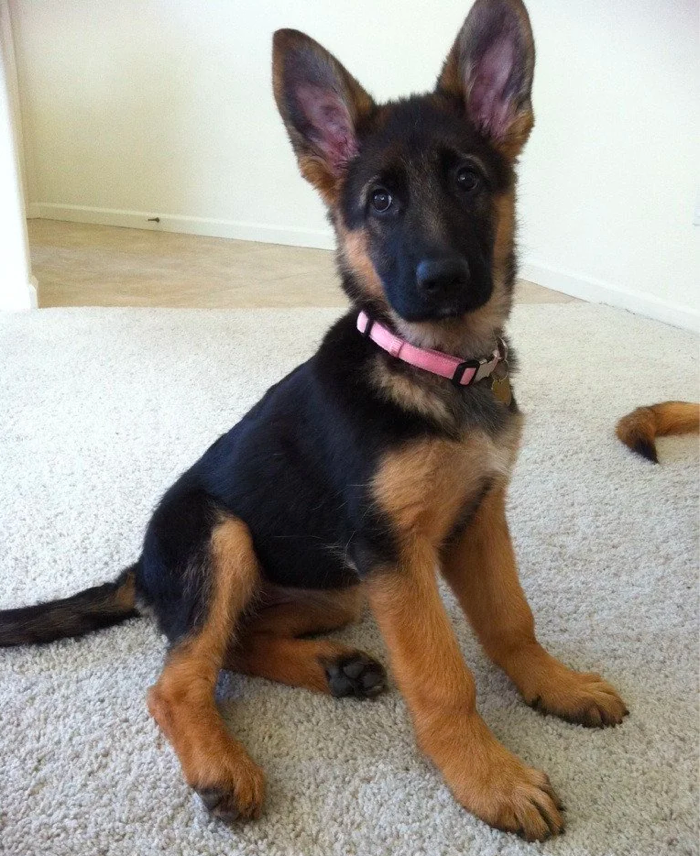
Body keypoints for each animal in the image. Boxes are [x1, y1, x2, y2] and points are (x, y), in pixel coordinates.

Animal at [0, 0, 628, 844]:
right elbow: (442, 677)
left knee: (236, 645)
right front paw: (487, 776)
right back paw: (223, 766)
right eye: (381, 203)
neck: (434, 370)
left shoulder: (477, 519)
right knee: (177, 680)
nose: (443, 280)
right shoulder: (395, 554)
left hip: (340, 589)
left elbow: (510, 620)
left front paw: (556, 686)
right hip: (225, 538)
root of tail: (140, 569)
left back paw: (334, 666)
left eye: (468, 180)